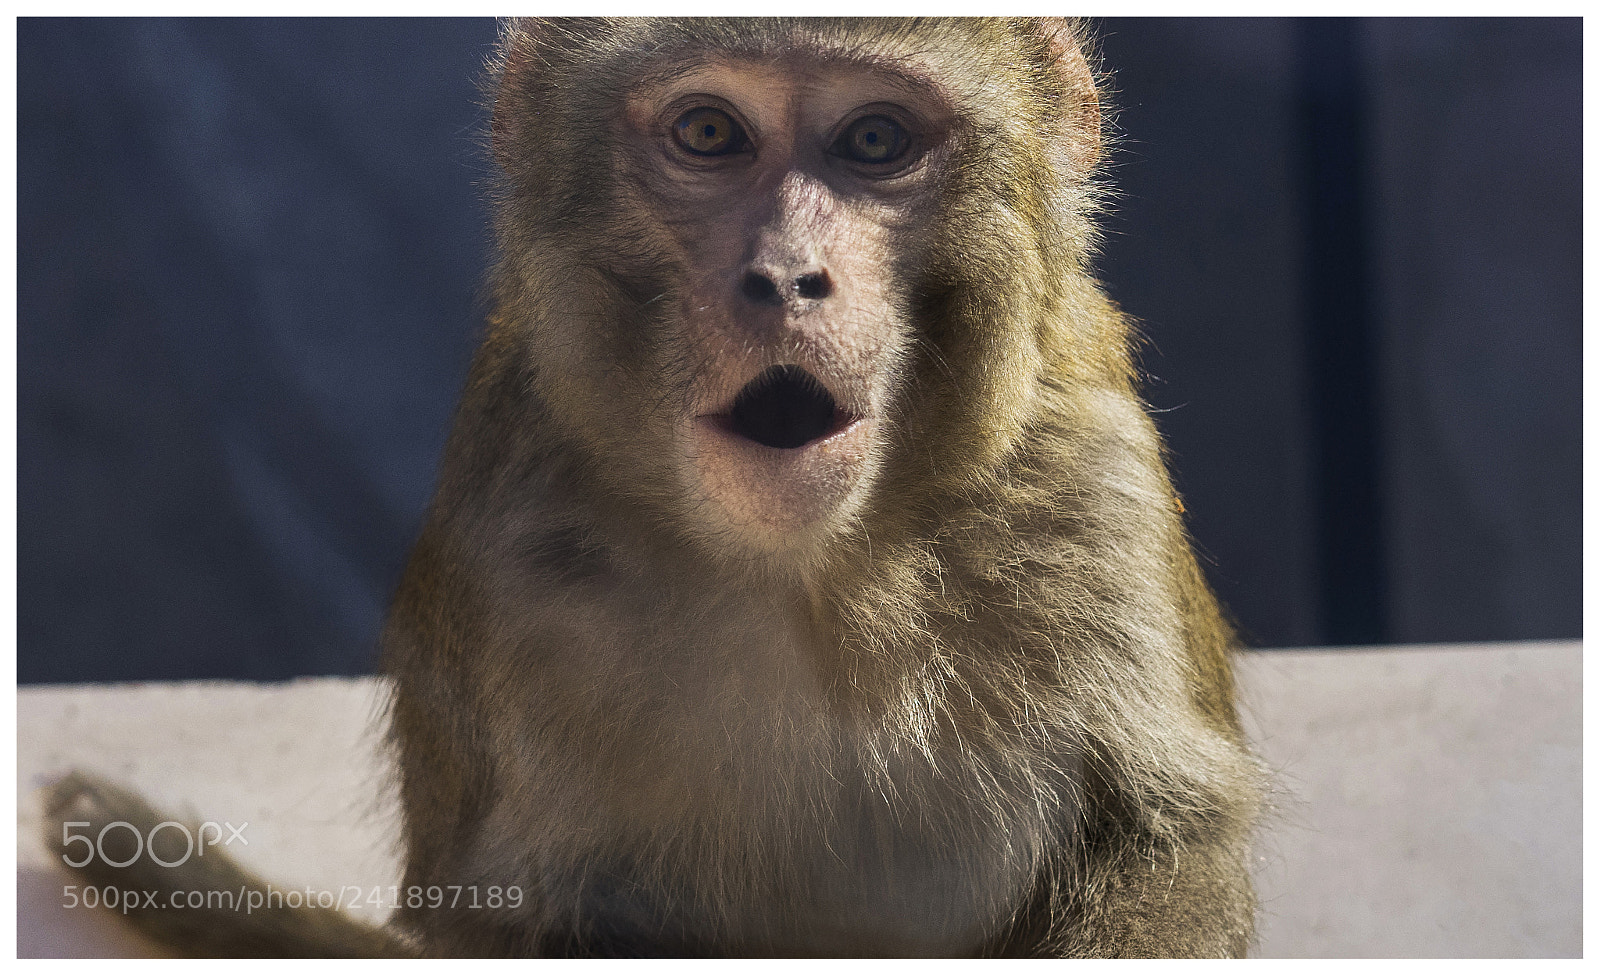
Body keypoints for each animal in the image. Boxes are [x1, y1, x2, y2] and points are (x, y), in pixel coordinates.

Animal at [45, 17, 1264, 957]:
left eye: (874, 139)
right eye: (709, 133)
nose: (787, 278)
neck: (809, 573)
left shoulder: (1084, 486)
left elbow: (1164, 846)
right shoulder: (516, 542)